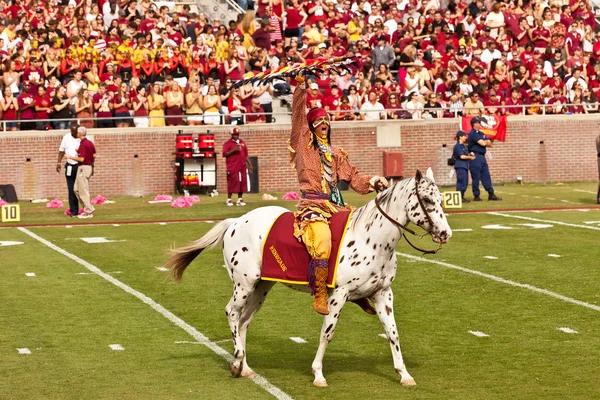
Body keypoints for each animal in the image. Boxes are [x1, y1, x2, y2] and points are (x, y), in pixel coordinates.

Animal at [162, 169, 452, 388]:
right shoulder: (338, 296)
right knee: (232, 313)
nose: (445, 233)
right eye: (427, 201)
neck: (372, 240)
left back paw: (245, 367)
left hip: (262, 287)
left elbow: (392, 333)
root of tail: (234, 222)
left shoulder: (383, 294)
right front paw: (318, 374)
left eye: (441, 200)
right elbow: (327, 333)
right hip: (243, 284)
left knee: (244, 322)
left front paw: (404, 374)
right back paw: (235, 363)